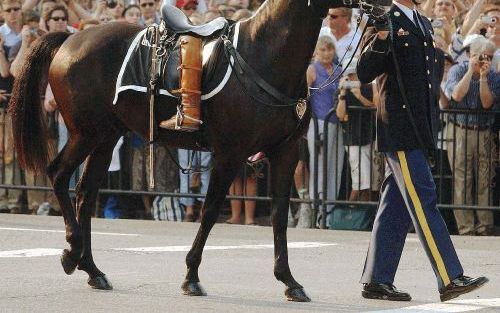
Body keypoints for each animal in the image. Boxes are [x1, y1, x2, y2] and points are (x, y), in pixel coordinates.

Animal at [8, 0, 382, 302]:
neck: (265, 54)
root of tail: (70, 40)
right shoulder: (230, 153)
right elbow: (211, 210)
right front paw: (191, 276)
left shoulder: (285, 152)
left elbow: (278, 215)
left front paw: (289, 280)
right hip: (87, 133)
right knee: (59, 175)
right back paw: (72, 252)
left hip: (106, 137)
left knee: (85, 195)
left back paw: (92, 268)